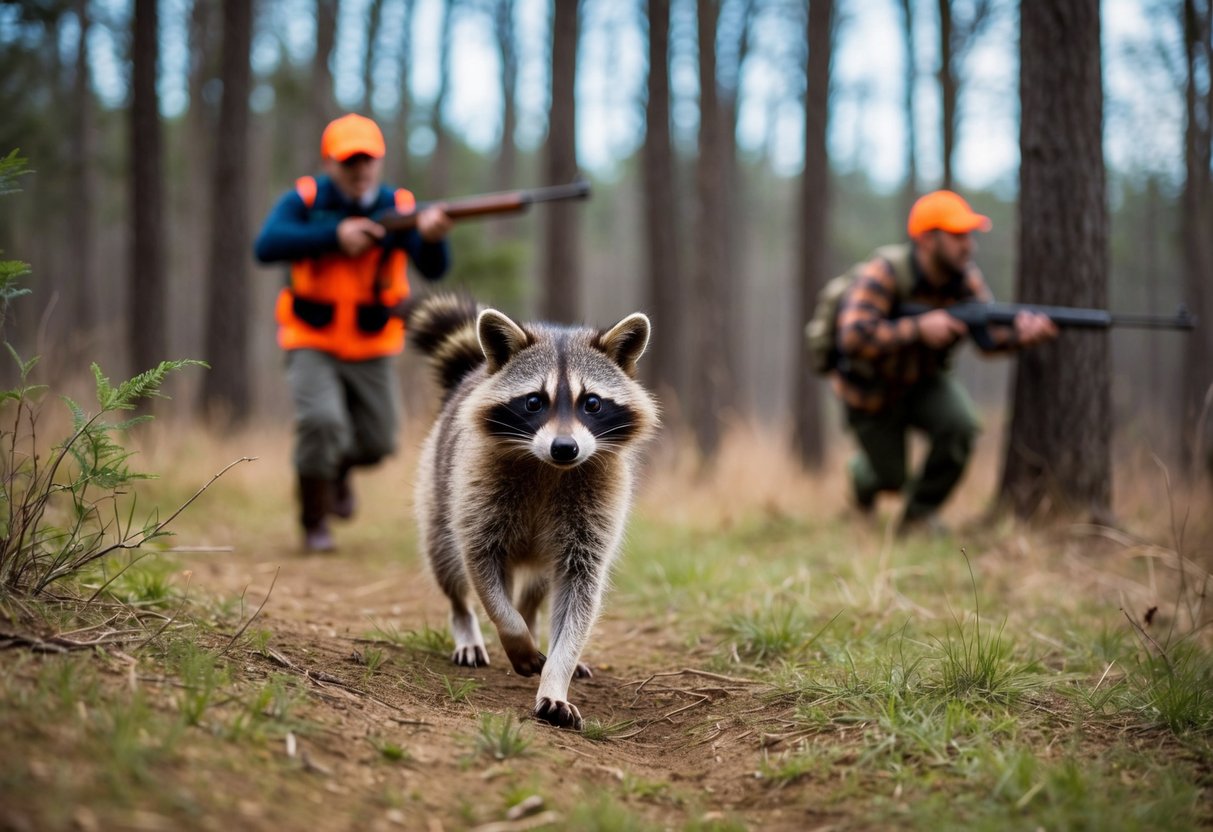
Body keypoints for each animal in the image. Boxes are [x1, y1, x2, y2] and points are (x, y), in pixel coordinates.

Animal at [406, 293, 659, 730]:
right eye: (534, 402)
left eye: (592, 403)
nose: (565, 448)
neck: (550, 468)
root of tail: (473, 373)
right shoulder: (478, 492)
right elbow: (483, 569)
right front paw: (515, 636)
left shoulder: (595, 509)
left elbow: (579, 592)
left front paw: (556, 675)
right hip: (437, 488)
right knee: (449, 568)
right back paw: (469, 624)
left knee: (540, 589)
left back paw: (533, 621)